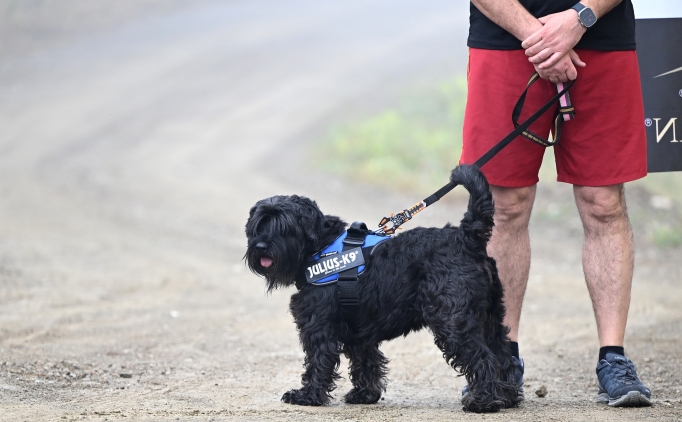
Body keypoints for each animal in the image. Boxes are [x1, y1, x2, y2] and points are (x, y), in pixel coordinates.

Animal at [243, 164, 516, 412]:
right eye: (259, 225)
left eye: (284, 226)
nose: (261, 246)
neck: (320, 246)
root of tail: (466, 238)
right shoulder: (358, 332)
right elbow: (366, 362)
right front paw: (364, 395)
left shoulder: (318, 327)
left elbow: (318, 361)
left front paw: (307, 396)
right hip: (490, 318)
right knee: (503, 354)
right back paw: (509, 397)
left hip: (454, 323)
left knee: (484, 357)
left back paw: (483, 401)